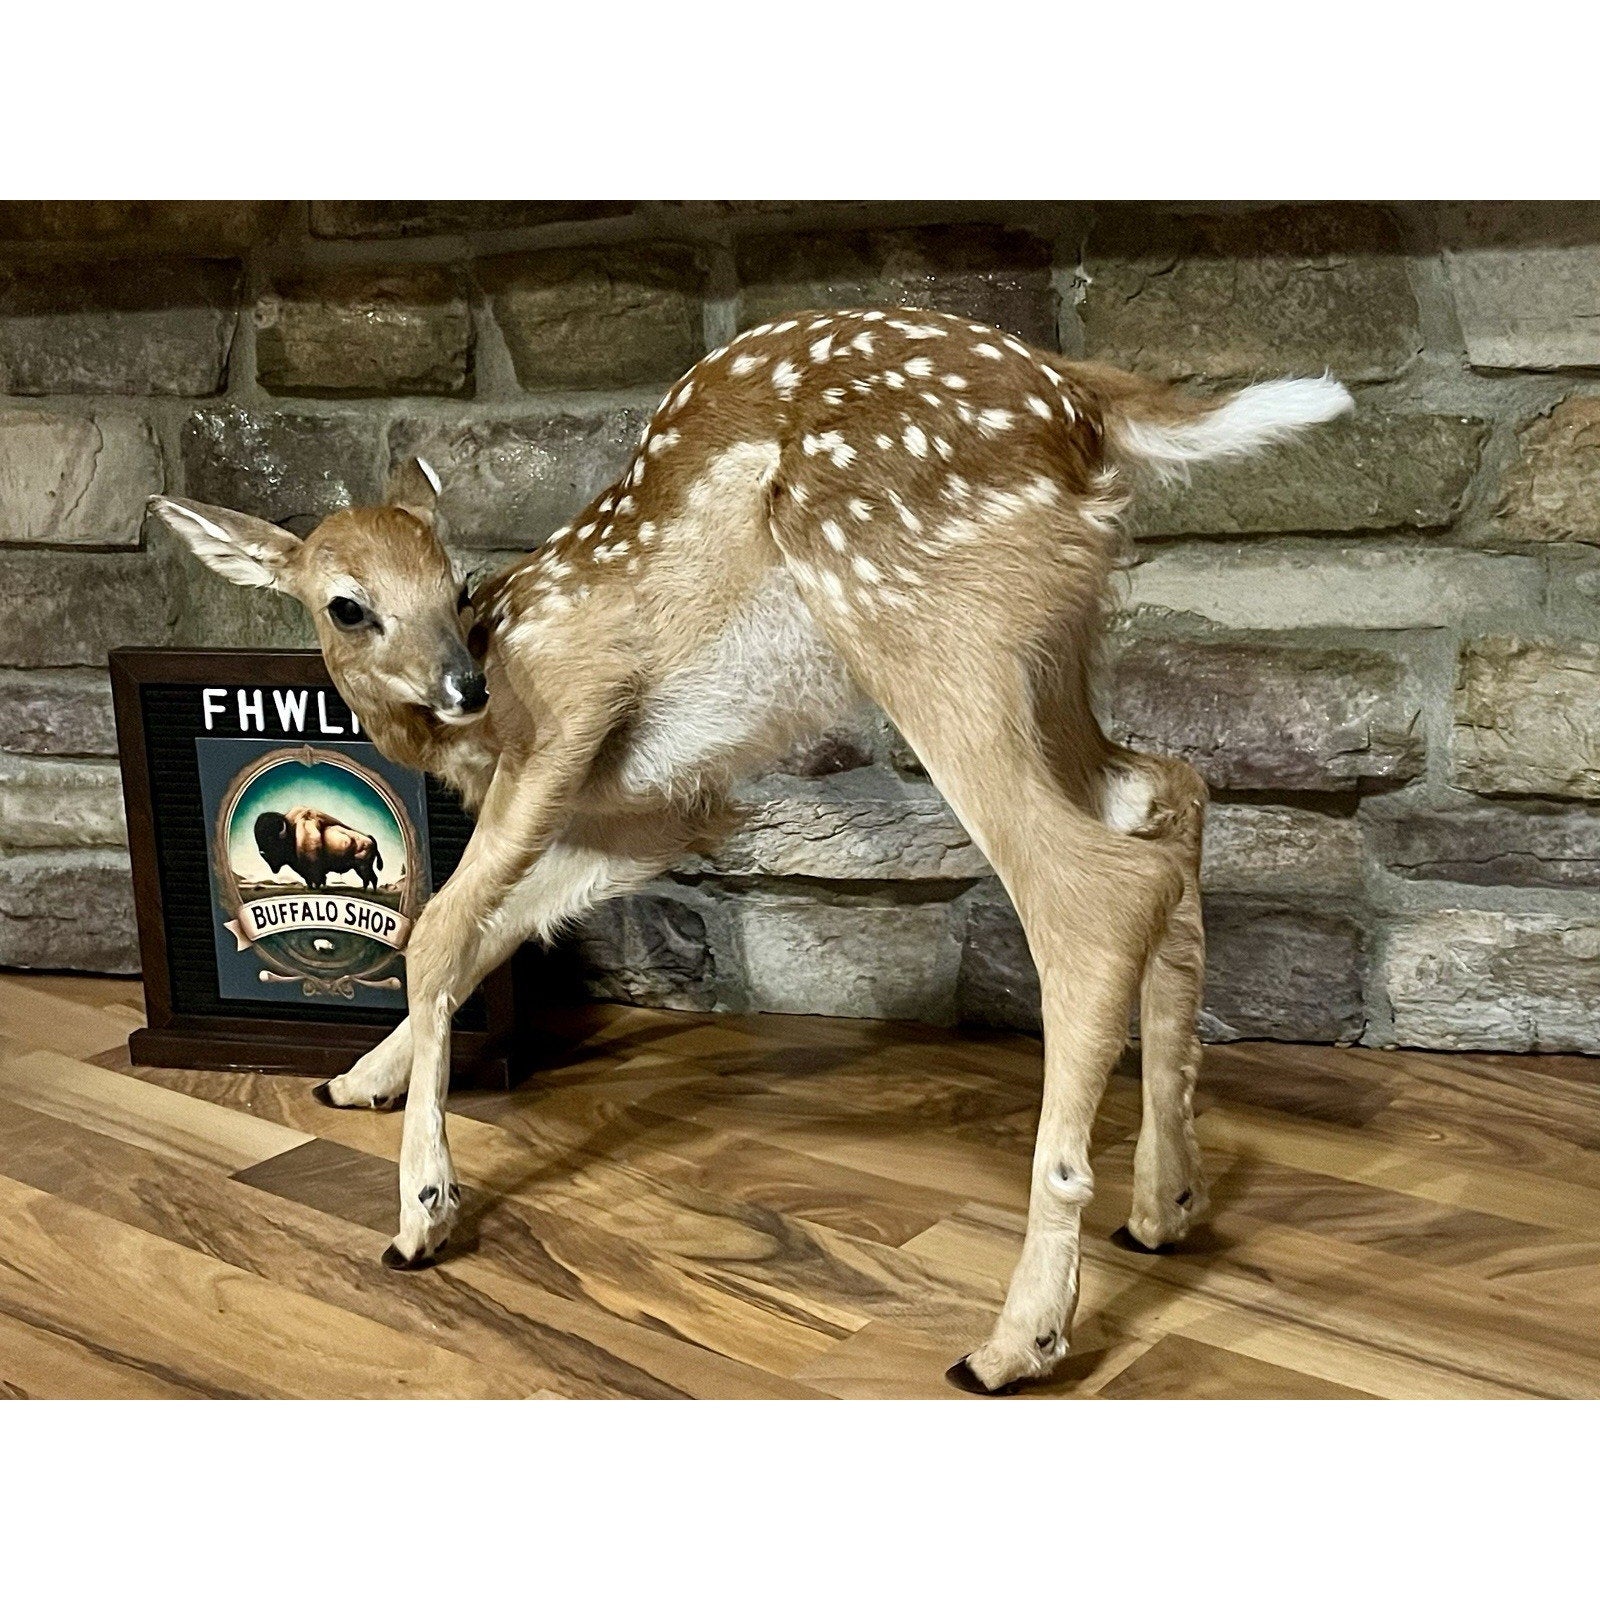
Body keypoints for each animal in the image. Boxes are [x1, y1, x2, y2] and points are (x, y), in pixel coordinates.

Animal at [148, 306, 1351, 1394]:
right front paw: (357, 1077)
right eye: (347, 606)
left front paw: (421, 1210)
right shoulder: (658, 811)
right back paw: (1165, 1203)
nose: (463, 682)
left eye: (452, 585)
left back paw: (1015, 1339)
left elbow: (442, 926)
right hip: (1048, 653)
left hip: (919, 617)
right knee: (1170, 793)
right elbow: (503, 925)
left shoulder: (575, 715)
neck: (473, 724)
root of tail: (1085, 404)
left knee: (1096, 889)